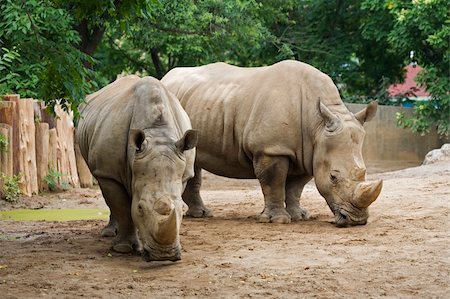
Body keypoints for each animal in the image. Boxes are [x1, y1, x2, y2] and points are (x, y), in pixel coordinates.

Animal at [76, 76, 198, 262]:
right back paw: (110, 234)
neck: (157, 132)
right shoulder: (108, 172)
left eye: (184, 210)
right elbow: (122, 207)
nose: (164, 255)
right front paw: (123, 248)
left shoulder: (183, 173)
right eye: (140, 208)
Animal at [163, 60, 382, 227]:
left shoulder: (308, 152)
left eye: (364, 172)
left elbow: (295, 188)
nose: (356, 220)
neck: (317, 126)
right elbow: (273, 182)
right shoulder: (271, 149)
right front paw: (277, 220)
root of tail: (166, 78)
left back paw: (201, 214)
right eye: (333, 177)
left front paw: (299, 216)